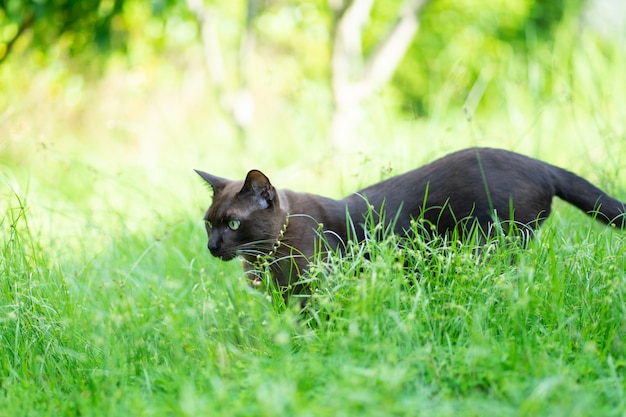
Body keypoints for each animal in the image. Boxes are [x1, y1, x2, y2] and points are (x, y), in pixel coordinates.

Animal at [196, 146, 624, 296]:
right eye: (208, 224)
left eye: (232, 225)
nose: (212, 247)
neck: (266, 258)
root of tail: (540, 164)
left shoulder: (317, 292)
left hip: (494, 244)